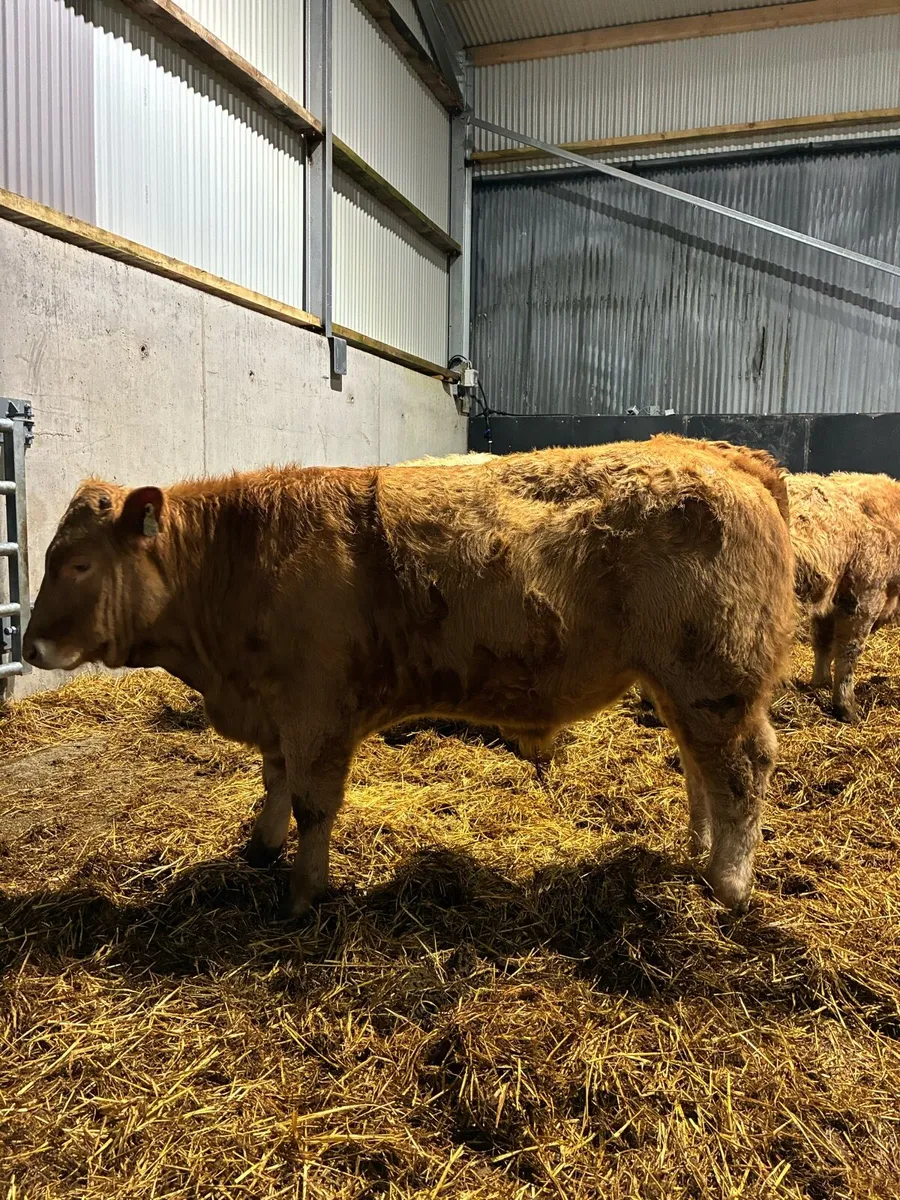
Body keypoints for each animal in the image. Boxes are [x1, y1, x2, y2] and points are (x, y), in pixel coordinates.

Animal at [23, 436, 795, 917]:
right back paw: (697, 849)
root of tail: (725, 457)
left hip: (714, 676)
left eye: (80, 564)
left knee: (743, 768)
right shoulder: (277, 711)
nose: (29, 645)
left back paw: (728, 882)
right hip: (682, 683)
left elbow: (313, 804)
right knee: (701, 765)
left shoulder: (316, 712)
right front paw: (261, 848)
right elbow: (273, 783)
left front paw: (303, 893)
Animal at [788, 472, 900, 722]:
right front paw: (847, 707)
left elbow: (822, 642)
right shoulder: (863, 598)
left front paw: (820, 683)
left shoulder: (829, 603)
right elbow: (848, 652)